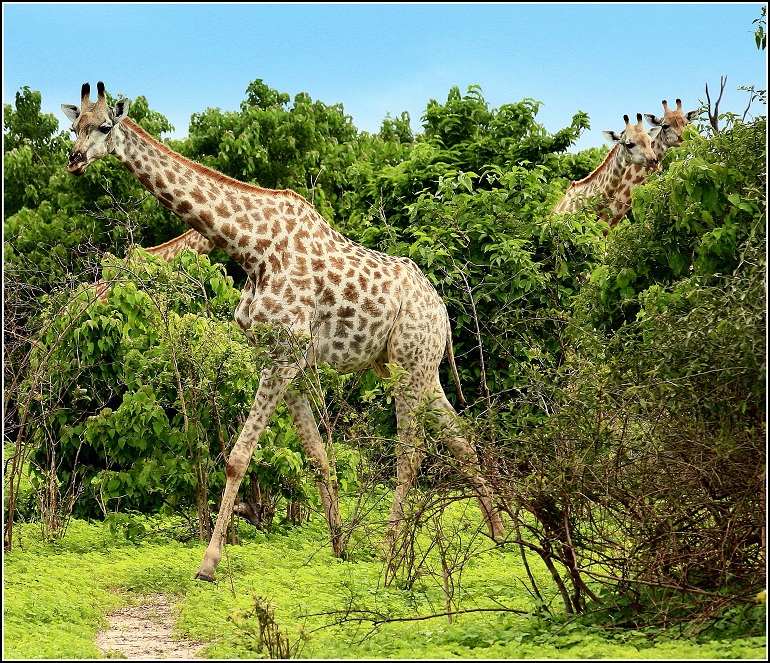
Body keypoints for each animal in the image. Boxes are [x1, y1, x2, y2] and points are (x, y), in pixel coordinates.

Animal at [61, 81, 504, 580]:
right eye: (73, 127)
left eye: (105, 126)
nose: (75, 160)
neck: (251, 249)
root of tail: (442, 310)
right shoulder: (281, 358)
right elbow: (316, 454)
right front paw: (339, 546)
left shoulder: (284, 356)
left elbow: (237, 458)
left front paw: (208, 563)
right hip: (408, 367)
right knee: (460, 437)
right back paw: (499, 535)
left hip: (412, 364)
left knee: (411, 455)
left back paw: (393, 554)